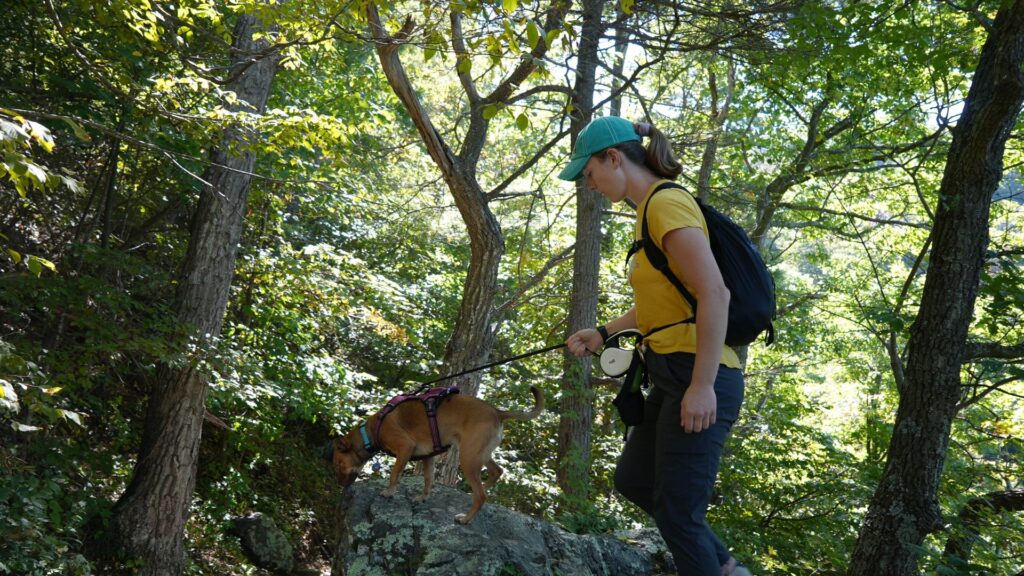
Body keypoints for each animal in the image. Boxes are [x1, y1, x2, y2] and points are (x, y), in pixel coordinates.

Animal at [335, 383, 544, 522]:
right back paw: (483, 488)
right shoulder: (428, 458)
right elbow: (428, 480)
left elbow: (394, 474)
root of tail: (497, 412)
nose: (340, 486)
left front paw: (389, 492)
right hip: (480, 454)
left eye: (338, 464)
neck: (371, 430)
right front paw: (423, 497)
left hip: (468, 458)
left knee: (481, 495)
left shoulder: (405, 447)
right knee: (496, 472)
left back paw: (465, 519)